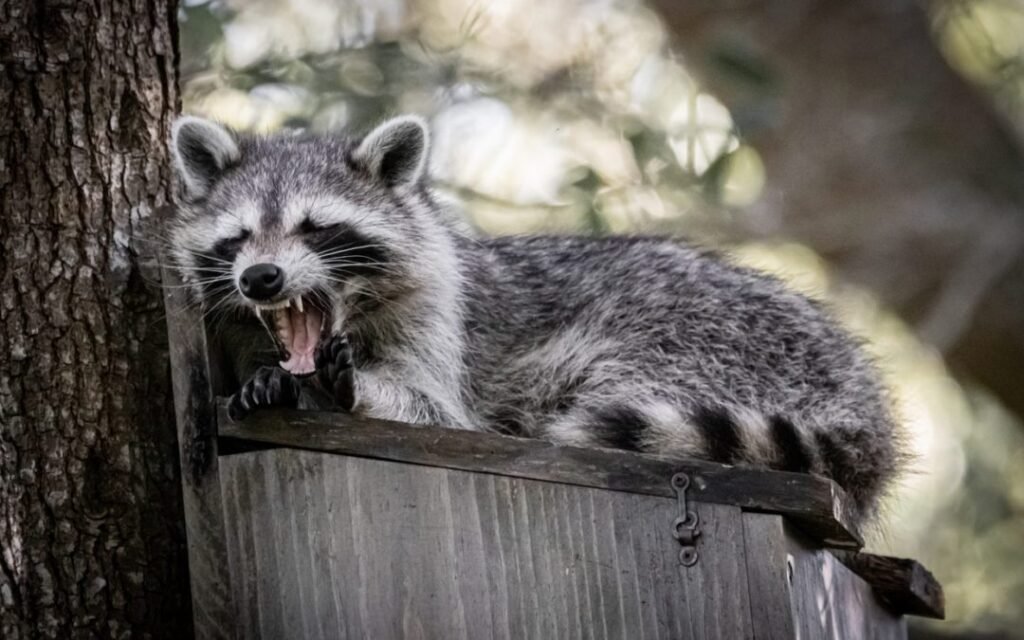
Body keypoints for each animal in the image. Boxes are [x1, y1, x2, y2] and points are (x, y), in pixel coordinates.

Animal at [168, 114, 901, 527]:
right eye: (239, 238)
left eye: (316, 229)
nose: (261, 279)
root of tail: (860, 398)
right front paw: (272, 378)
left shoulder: (441, 319)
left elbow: (440, 413)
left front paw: (349, 388)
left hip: (712, 339)